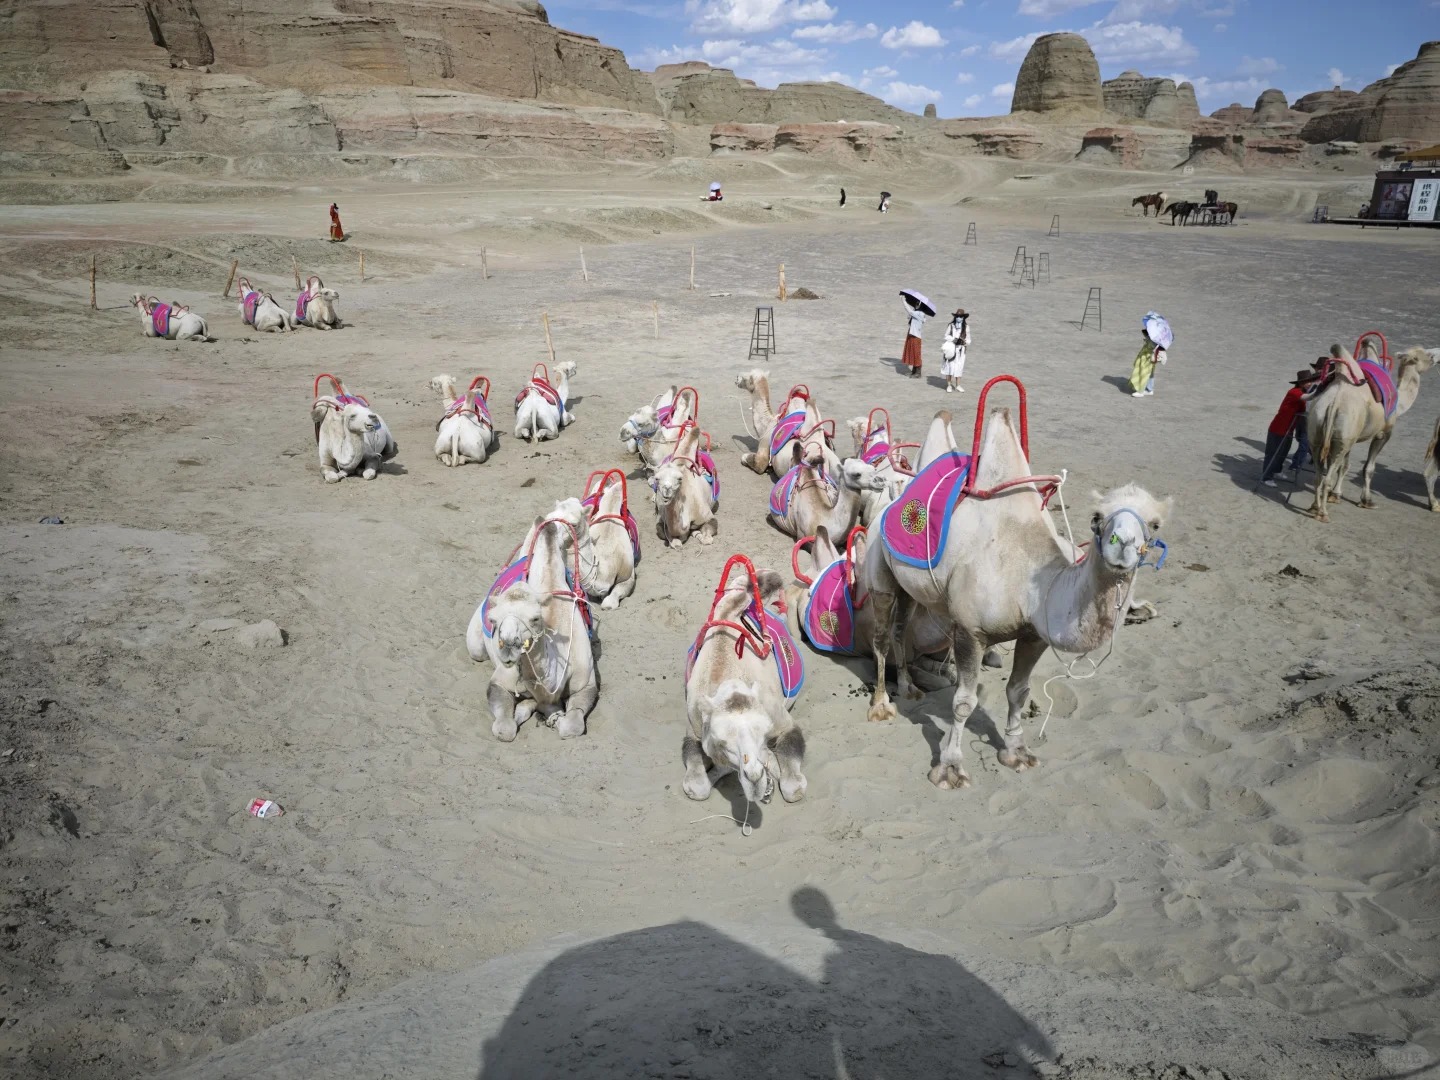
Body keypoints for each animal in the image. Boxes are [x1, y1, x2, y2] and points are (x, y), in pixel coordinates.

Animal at [474, 512, 598, 741]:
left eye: (534, 618)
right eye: (493, 620)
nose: (508, 646)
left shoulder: (586, 684)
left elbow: (572, 726)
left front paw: (554, 717)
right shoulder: (499, 682)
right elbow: (504, 728)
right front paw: (545, 713)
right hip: (476, 647)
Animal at [682, 555, 806, 808]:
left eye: (763, 733)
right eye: (724, 743)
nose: (754, 778)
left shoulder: (782, 721)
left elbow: (793, 788)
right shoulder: (694, 727)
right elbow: (697, 787)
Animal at [863, 403, 1171, 790]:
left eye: (1155, 524)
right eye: (1097, 517)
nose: (1123, 547)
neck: (1031, 583)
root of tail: (891, 502)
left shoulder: (1033, 635)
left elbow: (1018, 692)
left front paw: (1017, 753)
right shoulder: (970, 632)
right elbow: (963, 702)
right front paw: (949, 769)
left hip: (909, 589)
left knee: (901, 628)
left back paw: (909, 688)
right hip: (879, 573)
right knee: (880, 638)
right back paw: (880, 705)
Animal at [1306, 343, 1436, 520]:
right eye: (1427, 355)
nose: (1436, 356)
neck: (1399, 404)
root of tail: (1334, 402)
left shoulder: (1352, 437)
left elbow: (1345, 466)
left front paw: (1336, 495)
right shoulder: (1383, 434)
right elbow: (1369, 468)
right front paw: (1367, 501)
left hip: (1319, 429)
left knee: (1319, 474)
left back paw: (1314, 507)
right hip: (1340, 438)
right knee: (1327, 476)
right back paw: (1323, 513)